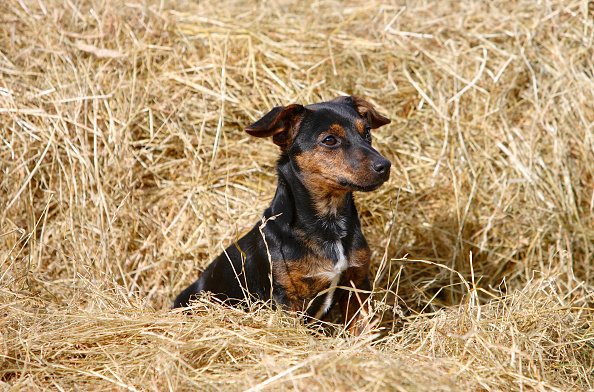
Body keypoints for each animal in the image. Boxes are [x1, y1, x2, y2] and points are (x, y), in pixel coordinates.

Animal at [171, 95, 388, 334]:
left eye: (367, 132)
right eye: (330, 140)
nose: (385, 166)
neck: (329, 223)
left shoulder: (357, 286)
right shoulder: (288, 299)